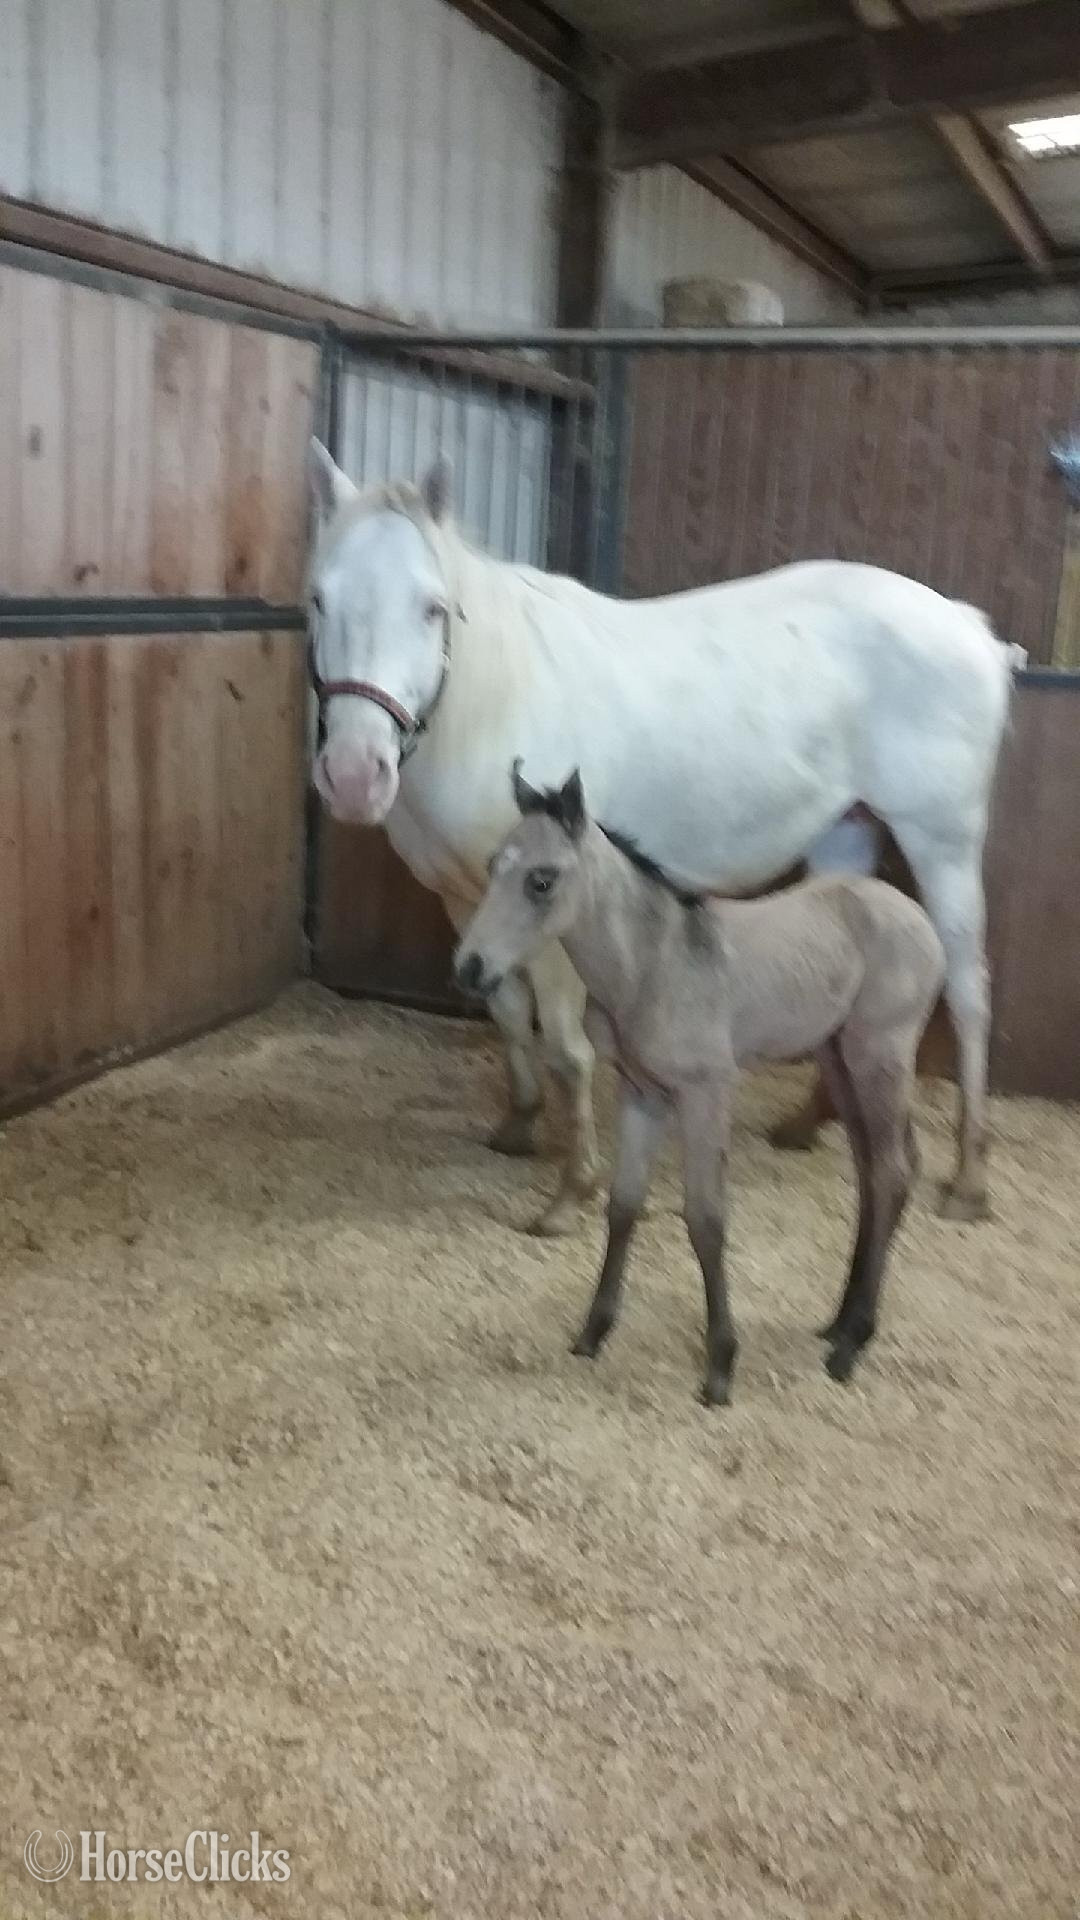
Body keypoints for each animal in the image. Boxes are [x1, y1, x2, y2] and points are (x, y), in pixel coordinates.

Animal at [306, 441, 1021, 1232]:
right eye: (318, 600)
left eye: (432, 607)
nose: (354, 774)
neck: (494, 697)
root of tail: (969, 626)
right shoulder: (470, 902)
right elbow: (507, 1014)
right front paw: (519, 1126)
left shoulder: (556, 913)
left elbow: (565, 1047)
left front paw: (573, 1190)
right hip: (846, 836)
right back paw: (807, 1126)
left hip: (943, 840)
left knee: (969, 992)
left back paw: (969, 1180)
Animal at [454, 766, 946, 1405]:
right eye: (493, 867)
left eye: (542, 880)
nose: (469, 967)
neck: (653, 967)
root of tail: (920, 920)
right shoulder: (641, 1093)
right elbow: (624, 1205)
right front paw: (592, 1333)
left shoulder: (706, 1093)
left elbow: (706, 1220)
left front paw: (720, 1366)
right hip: (839, 1060)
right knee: (873, 1172)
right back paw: (839, 1323)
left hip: (879, 1055)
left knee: (890, 1171)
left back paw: (851, 1344)